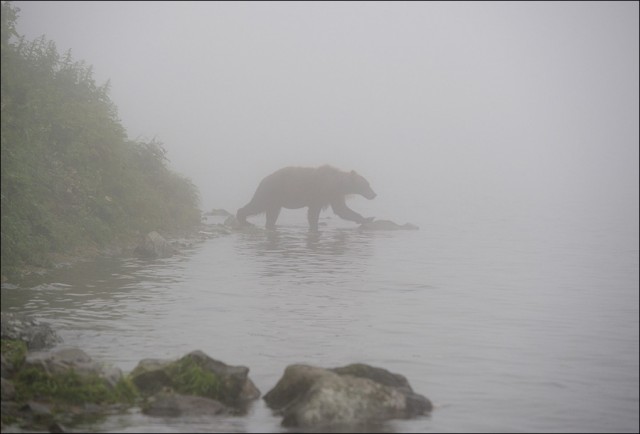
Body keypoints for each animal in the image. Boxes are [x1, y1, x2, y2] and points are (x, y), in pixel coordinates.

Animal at [236, 164, 376, 231]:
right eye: (367, 184)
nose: (374, 194)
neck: (337, 183)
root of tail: (263, 179)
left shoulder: (334, 195)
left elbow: (341, 209)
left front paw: (367, 218)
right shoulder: (319, 192)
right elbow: (314, 212)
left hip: (276, 200)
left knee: (272, 214)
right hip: (271, 191)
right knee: (257, 205)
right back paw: (244, 219)